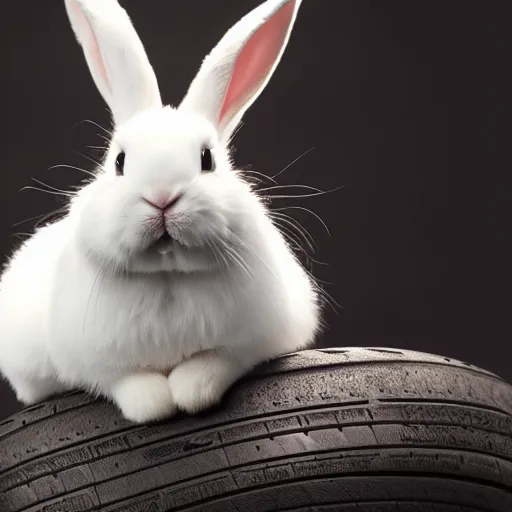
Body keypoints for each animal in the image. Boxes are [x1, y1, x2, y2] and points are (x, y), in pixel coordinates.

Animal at [1, 0, 320, 424]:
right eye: (119, 161)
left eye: (207, 159)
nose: (163, 197)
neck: (168, 276)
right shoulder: (95, 364)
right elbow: (127, 382)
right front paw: (155, 405)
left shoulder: (253, 342)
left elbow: (214, 364)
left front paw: (190, 391)